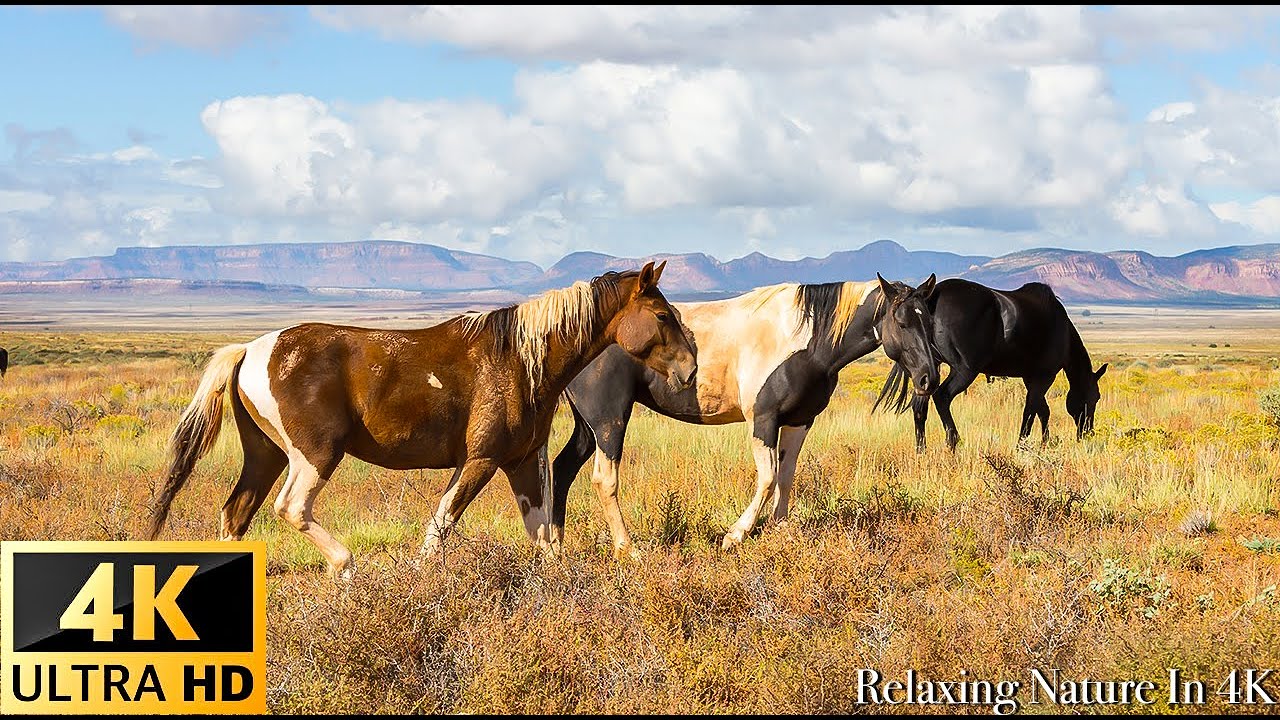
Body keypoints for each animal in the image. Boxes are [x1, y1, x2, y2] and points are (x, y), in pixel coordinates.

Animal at [146, 261, 697, 579]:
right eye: (663, 316)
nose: (691, 370)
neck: (522, 360)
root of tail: (249, 349)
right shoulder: (482, 460)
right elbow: (440, 529)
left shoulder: (519, 463)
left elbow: (542, 539)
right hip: (314, 455)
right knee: (291, 508)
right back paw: (346, 567)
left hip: (264, 455)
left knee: (235, 515)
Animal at [550, 273, 941, 555]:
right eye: (902, 322)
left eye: (928, 321)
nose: (929, 377)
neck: (804, 339)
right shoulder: (763, 420)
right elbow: (767, 478)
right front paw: (735, 535)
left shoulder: (799, 420)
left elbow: (786, 475)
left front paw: (781, 531)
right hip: (609, 421)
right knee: (604, 480)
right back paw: (626, 549)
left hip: (587, 426)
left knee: (563, 468)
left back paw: (555, 548)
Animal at [874, 277, 1107, 452]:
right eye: (1095, 397)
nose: (1087, 432)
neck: (1063, 331)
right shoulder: (1043, 377)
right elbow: (1031, 412)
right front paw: (1023, 447)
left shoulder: (1031, 378)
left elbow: (1042, 410)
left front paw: (1045, 443)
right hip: (964, 370)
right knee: (942, 396)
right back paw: (952, 442)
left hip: (926, 371)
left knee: (919, 406)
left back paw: (921, 451)